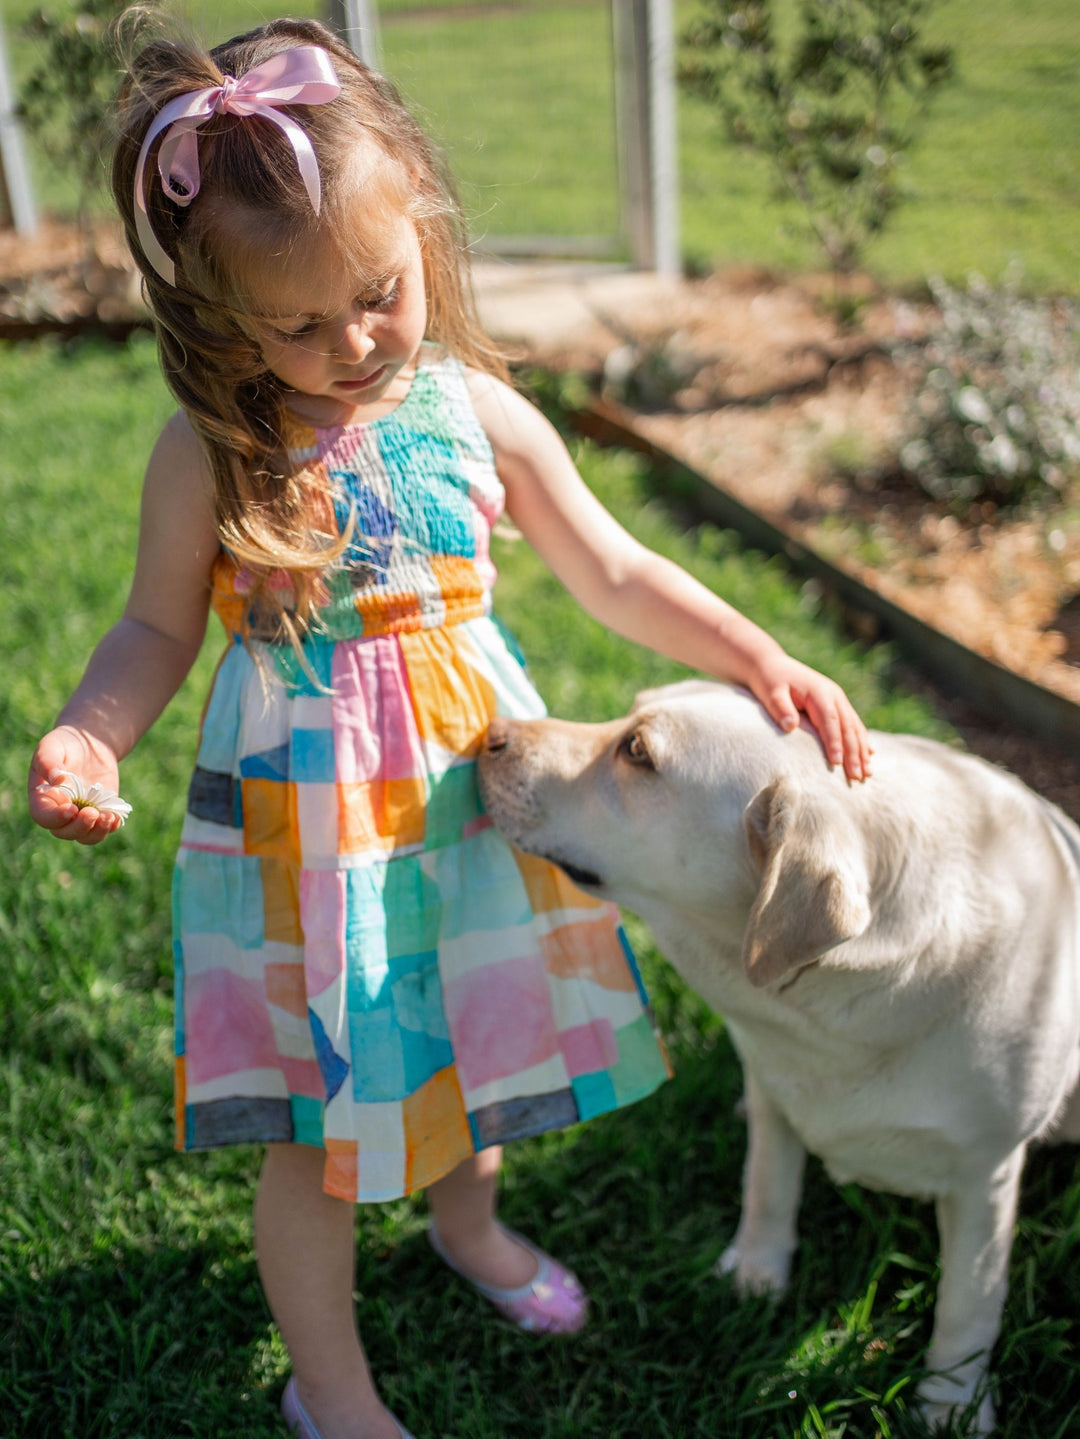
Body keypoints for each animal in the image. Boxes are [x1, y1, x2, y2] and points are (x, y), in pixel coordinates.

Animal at [480, 679, 1080, 1433]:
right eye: (632, 711)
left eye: (637, 751)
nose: (487, 735)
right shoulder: (773, 1084)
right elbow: (768, 1182)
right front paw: (756, 1274)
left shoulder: (986, 1174)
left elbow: (969, 1301)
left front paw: (952, 1402)